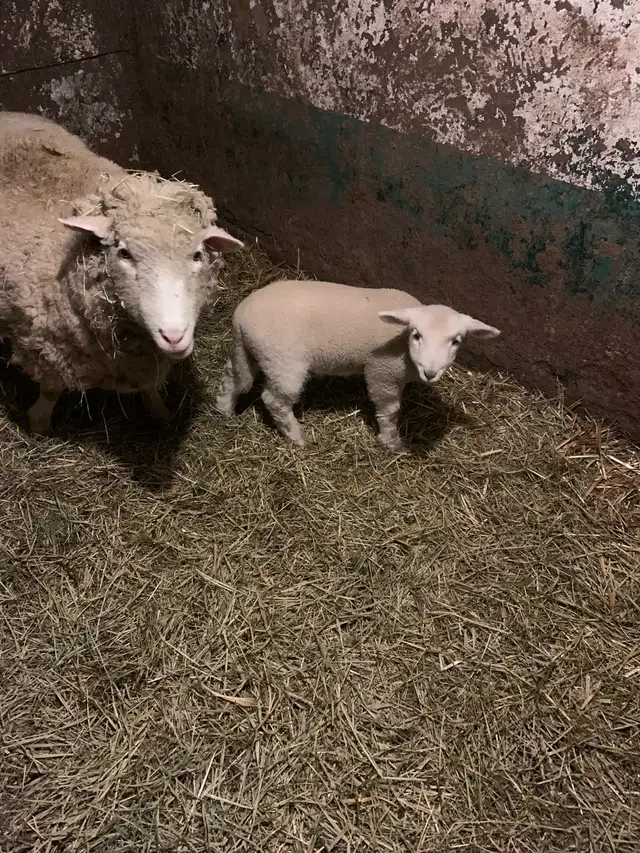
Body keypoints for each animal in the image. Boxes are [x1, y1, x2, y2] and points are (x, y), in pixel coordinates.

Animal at [0, 110, 243, 434]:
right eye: (124, 253)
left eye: (197, 255)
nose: (174, 337)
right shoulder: (48, 349)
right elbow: (50, 392)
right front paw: (40, 426)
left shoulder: (145, 363)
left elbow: (151, 389)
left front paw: (162, 415)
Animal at [215, 279, 500, 451]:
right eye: (417, 335)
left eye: (456, 341)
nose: (430, 372)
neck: (403, 343)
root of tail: (240, 317)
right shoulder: (382, 372)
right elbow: (390, 411)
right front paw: (392, 442)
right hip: (284, 362)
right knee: (274, 400)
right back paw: (298, 438)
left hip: (249, 351)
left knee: (234, 377)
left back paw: (224, 409)